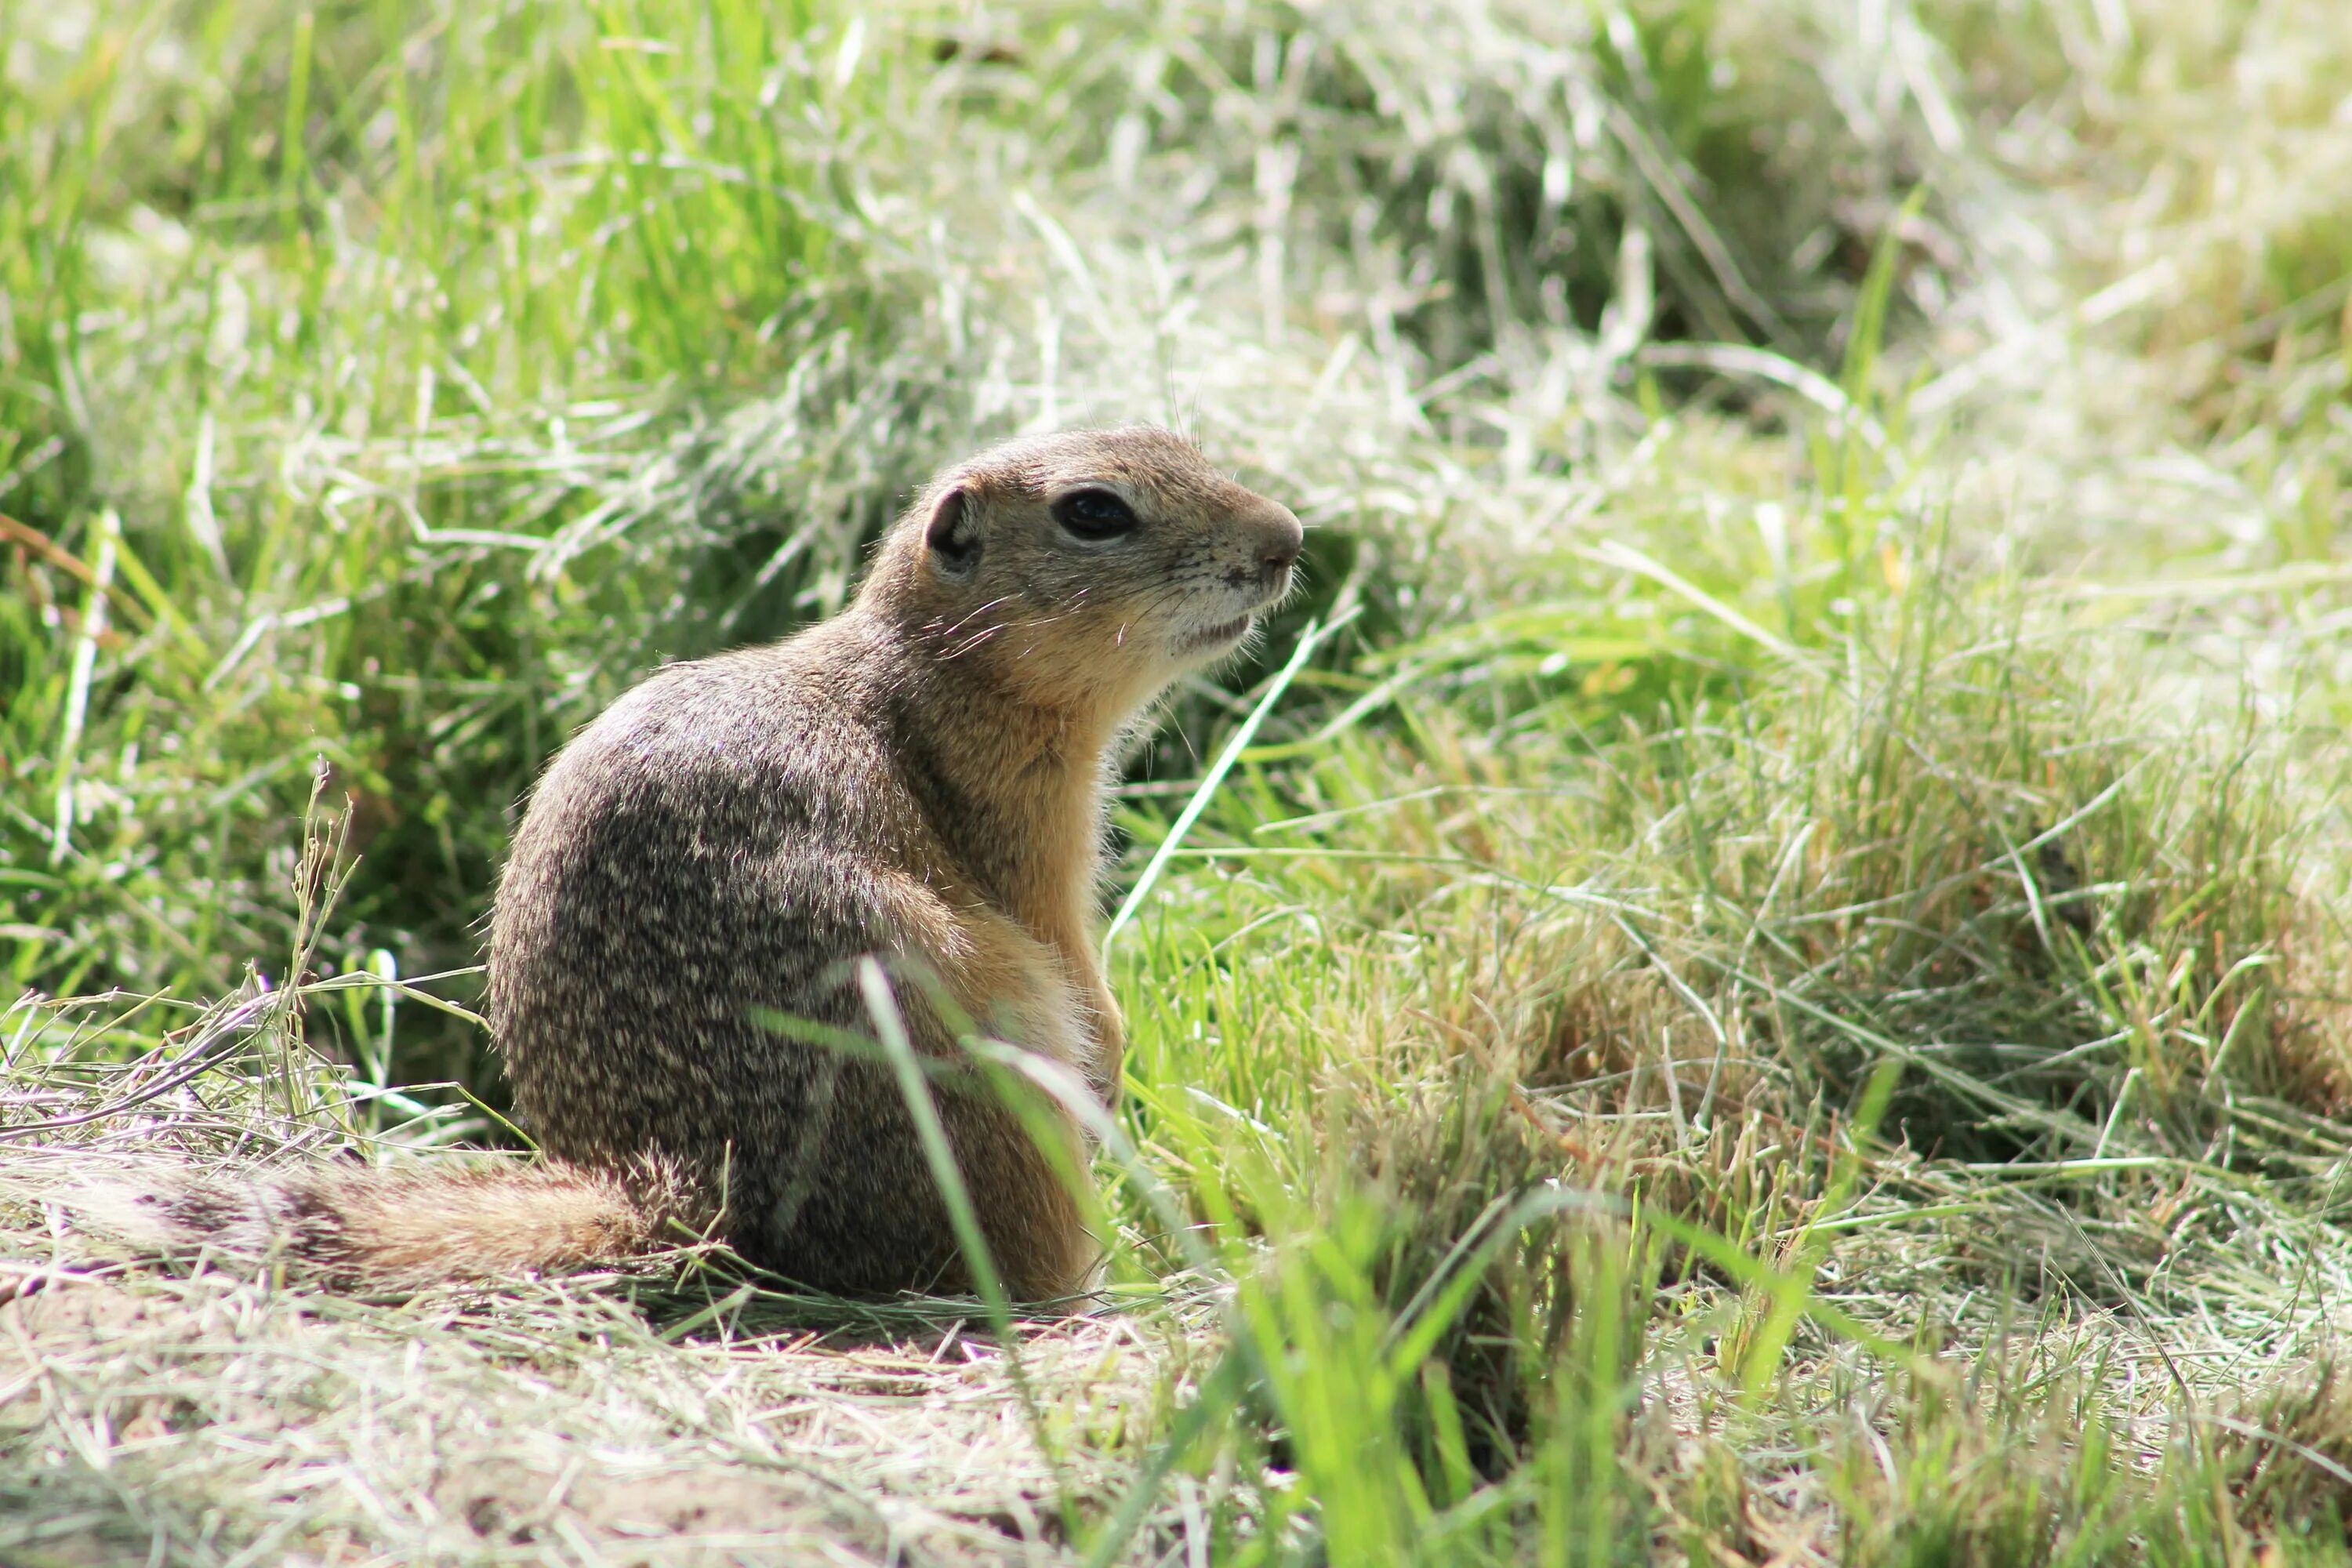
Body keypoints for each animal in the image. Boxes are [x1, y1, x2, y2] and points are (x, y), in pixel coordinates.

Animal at [87, 430, 1308, 1298]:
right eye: (1094, 509)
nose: (1290, 537)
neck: (931, 668)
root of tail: (677, 1175)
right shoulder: (1027, 838)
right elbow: (1072, 961)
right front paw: (1115, 1060)